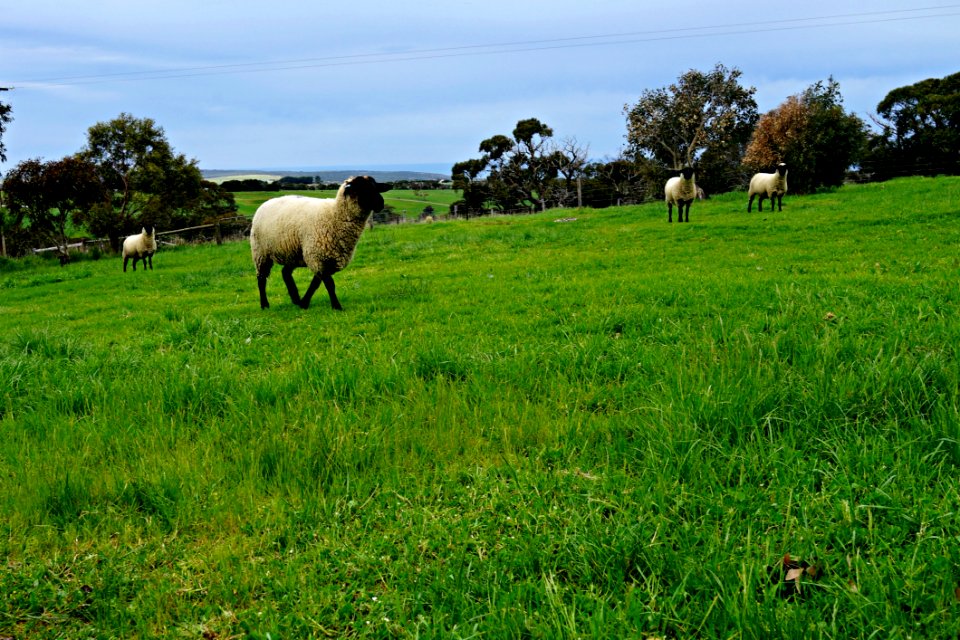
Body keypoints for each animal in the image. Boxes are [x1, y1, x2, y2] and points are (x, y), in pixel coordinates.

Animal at [255, 176, 394, 312]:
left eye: (375, 187)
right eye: (362, 189)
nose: (381, 203)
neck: (335, 215)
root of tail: (267, 202)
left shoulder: (324, 259)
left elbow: (315, 283)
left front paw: (304, 303)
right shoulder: (317, 257)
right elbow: (329, 284)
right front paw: (337, 306)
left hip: (293, 252)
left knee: (285, 273)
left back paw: (296, 299)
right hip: (260, 252)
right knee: (261, 278)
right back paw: (264, 305)